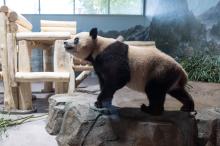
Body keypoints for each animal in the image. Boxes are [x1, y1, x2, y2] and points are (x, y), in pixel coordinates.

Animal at [63, 27, 194, 115]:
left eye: (76, 39)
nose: (65, 42)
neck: (97, 47)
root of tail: (182, 71)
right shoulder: (99, 64)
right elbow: (104, 81)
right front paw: (105, 102)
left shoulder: (111, 55)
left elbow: (119, 77)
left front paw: (99, 101)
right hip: (171, 77)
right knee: (177, 91)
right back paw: (187, 107)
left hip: (160, 70)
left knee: (154, 90)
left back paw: (149, 109)